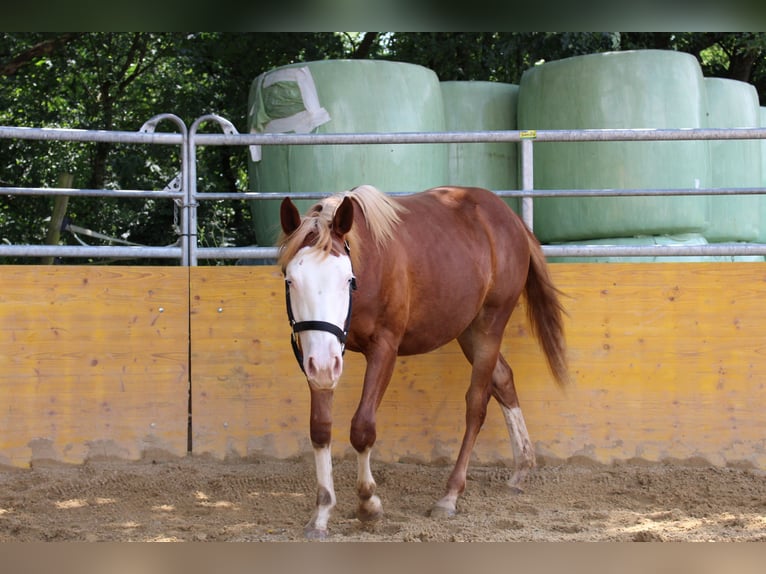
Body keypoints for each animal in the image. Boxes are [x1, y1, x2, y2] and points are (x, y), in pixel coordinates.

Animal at [280, 186, 568, 540]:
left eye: (347, 279)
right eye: (291, 280)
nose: (322, 365)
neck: (370, 263)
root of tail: (510, 218)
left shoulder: (384, 348)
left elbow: (362, 428)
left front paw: (368, 503)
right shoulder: (321, 352)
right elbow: (320, 429)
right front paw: (321, 512)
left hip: (489, 327)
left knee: (477, 405)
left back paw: (451, 494)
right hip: (468, 330)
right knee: (503, 379)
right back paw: (521, 467)